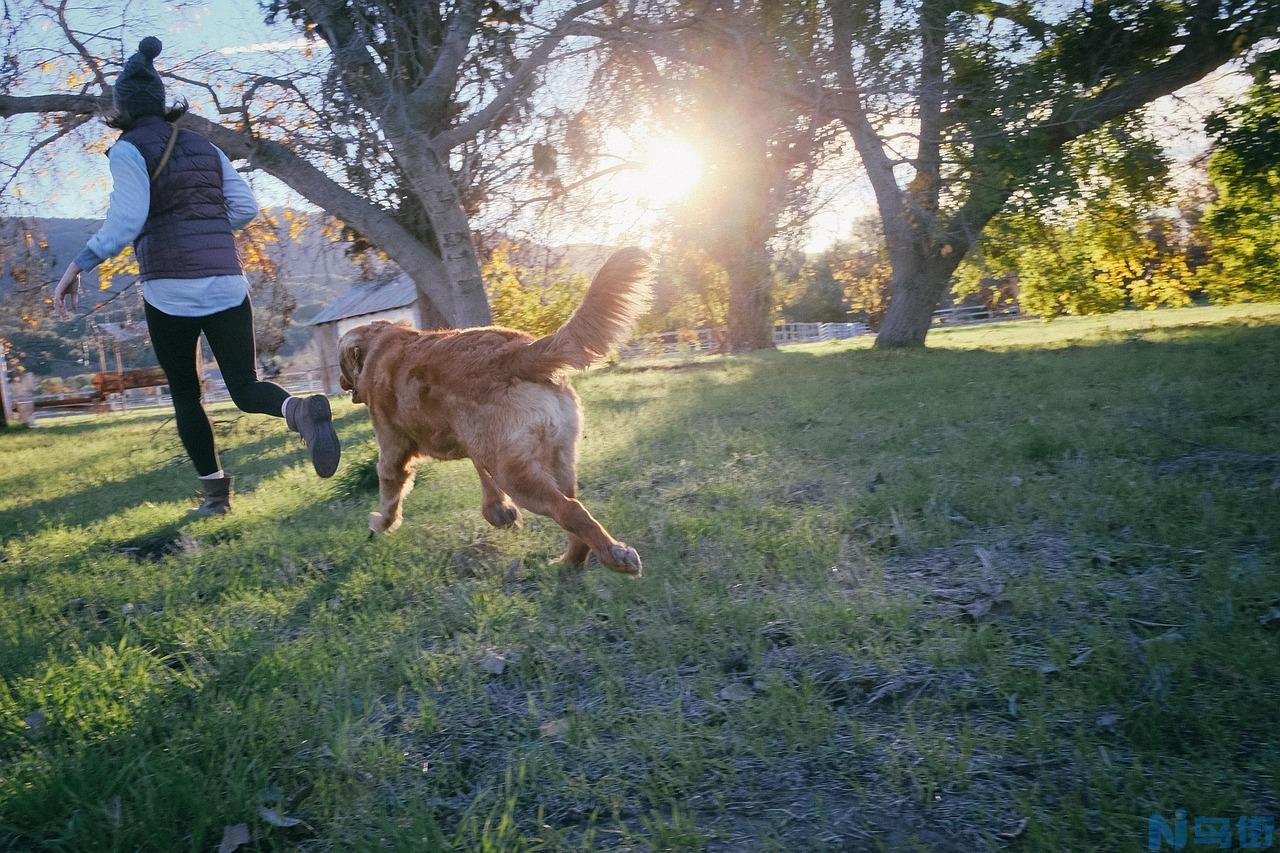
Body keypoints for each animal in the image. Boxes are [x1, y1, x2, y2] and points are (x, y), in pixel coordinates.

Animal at [340, 249, 650, 573]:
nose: (340, 383)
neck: (381, 344)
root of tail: (517, 352)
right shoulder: (477, 444)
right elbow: (483, 475)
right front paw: (499, 511)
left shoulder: (393, 450)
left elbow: (389, 491)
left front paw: (381, 523)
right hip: (554, 459)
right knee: (573, 514)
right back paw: (569, 562)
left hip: (516, 475)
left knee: (571, 510)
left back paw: (615, 556)